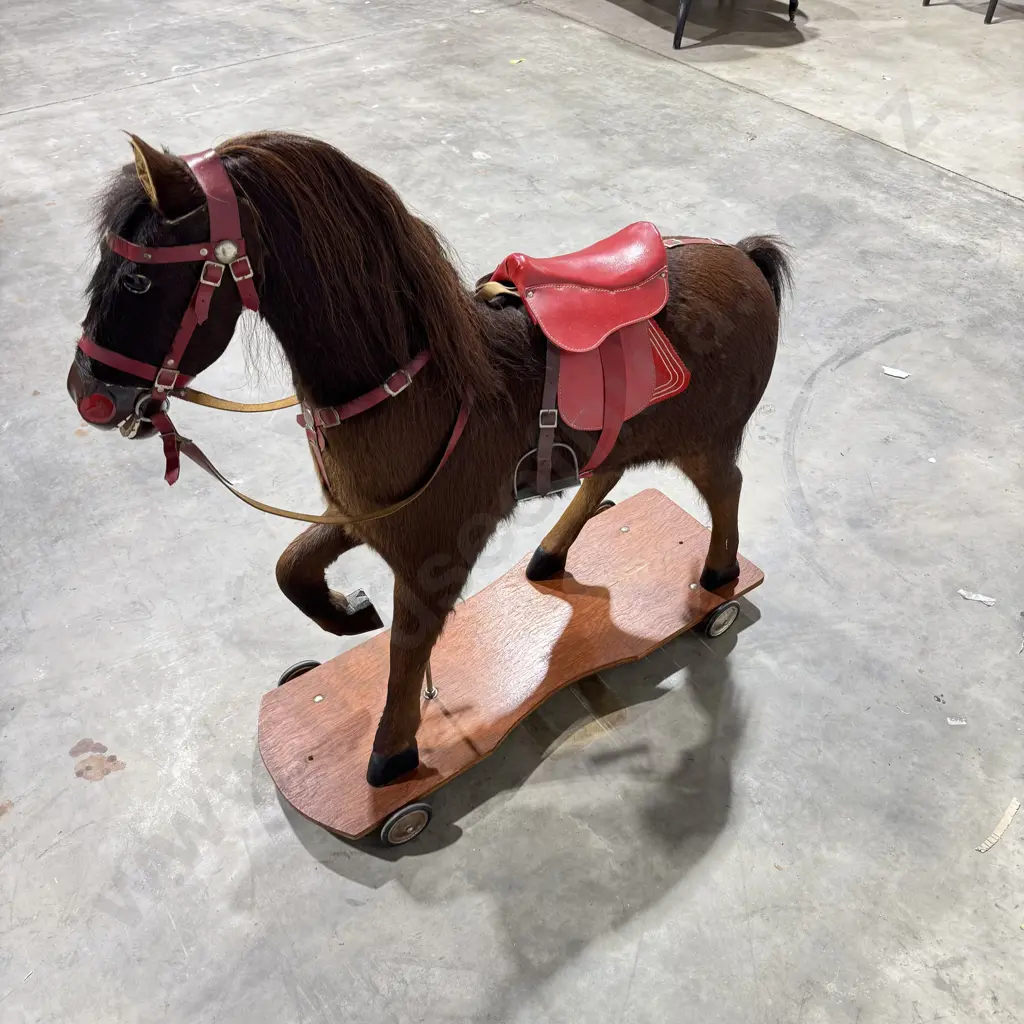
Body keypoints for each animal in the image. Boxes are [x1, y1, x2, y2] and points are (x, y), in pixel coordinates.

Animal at [66, 131, 789, 787]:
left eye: (138, 277)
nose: (88, 394)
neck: (423, 386)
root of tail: (744, 258)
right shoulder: (363, 516)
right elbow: (291, 569)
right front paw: (347, 612)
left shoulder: (433, 553)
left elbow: (406, 651)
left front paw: (392, 760)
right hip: (626, 432)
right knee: (606, 470)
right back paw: (549, 554)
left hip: (707, 438)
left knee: (727, 487)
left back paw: (719, 580)